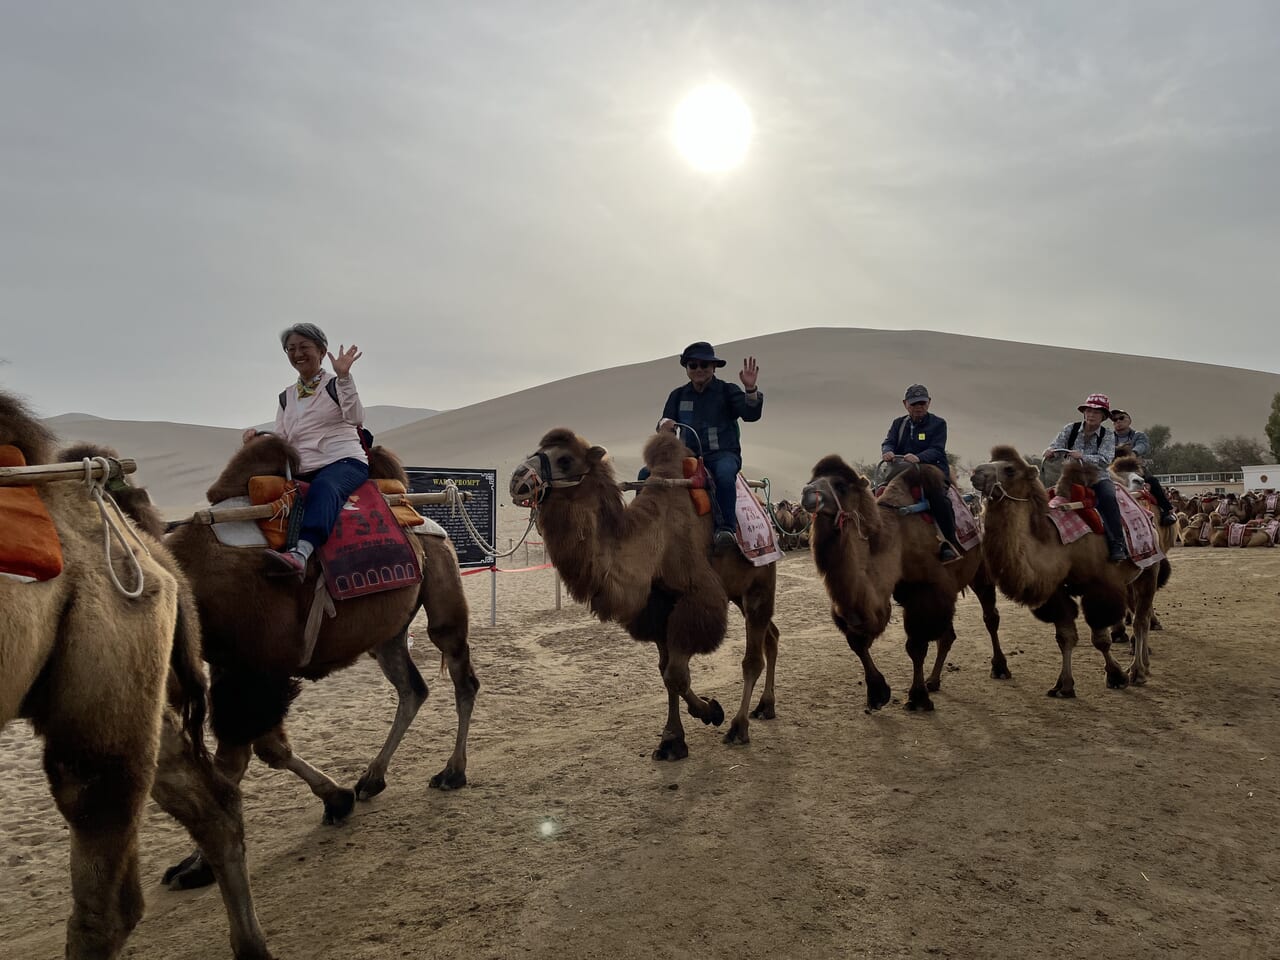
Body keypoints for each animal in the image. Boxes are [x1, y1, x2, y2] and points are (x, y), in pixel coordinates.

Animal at [142, 435, 478, 885]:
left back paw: (452, 772)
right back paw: (371, 779)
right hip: (386, 632)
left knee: (461, 675)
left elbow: (237, 762)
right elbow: (266, 750)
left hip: (441, 580)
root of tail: (424, 515)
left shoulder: (256, 668)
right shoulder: (236, 667)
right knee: (413, 688)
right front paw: (338, 798)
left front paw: (199, 865)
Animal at [509, 427, 778, 757]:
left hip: (760, 581)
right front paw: (673, 739)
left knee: (752, 658)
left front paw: (710, 712)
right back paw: (765, 706)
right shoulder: (657, 606)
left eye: (565, 459)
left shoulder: (697, 596)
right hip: (737, 591)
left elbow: (676, 674)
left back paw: (739, 727)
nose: (518, 478)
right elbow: (666, 672)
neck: (655, 544)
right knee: (772, 636)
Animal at [798, 455, 1008, 716]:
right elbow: (857, 640)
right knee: (947, 635)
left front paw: (917, 698)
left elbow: (915, 646)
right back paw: (933, 681)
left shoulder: (925, 591)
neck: (896, 540)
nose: (807, 493)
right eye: (812, 479)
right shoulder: (880, 598)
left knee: (990, 617)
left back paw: (1000, 668)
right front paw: (877, 694)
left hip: (979, 571)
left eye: (840, 485)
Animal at [967, 448, 1172, 696]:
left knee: (1141, 619)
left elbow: (1100, 639)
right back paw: (1145, 665)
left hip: (1150, 567)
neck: (1059, 546)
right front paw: (1063, 685)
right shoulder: (1056, 591)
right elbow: (1065, 636)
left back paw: (1138, 671)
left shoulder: (1100, 586)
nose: (976, 473)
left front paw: (1116, 676)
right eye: (991, 461)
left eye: (1009, 469)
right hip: (1133, 576)